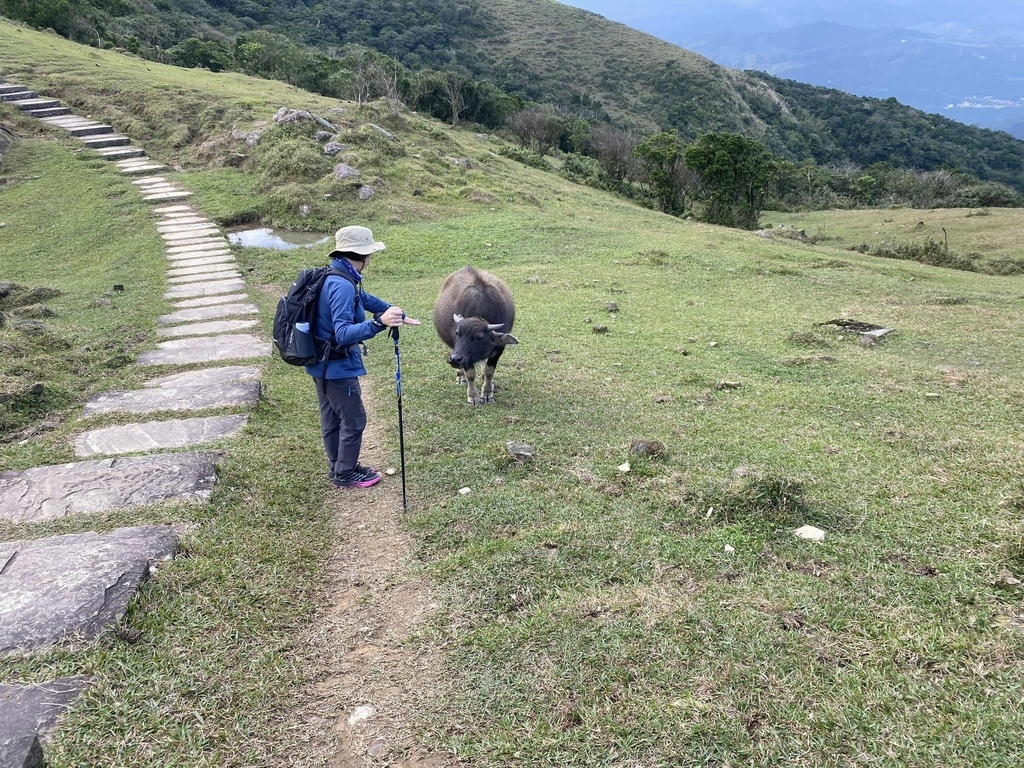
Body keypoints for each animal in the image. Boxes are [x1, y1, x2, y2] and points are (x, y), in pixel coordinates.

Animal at [432, 266, 520, 405]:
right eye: (457, 333)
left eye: (479, 337)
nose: (454, 359)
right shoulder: (465, 356)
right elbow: (470, 374)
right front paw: (473, 397)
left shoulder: (498, 348)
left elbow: (489, 372)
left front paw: (488, 393)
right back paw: (461, 377)